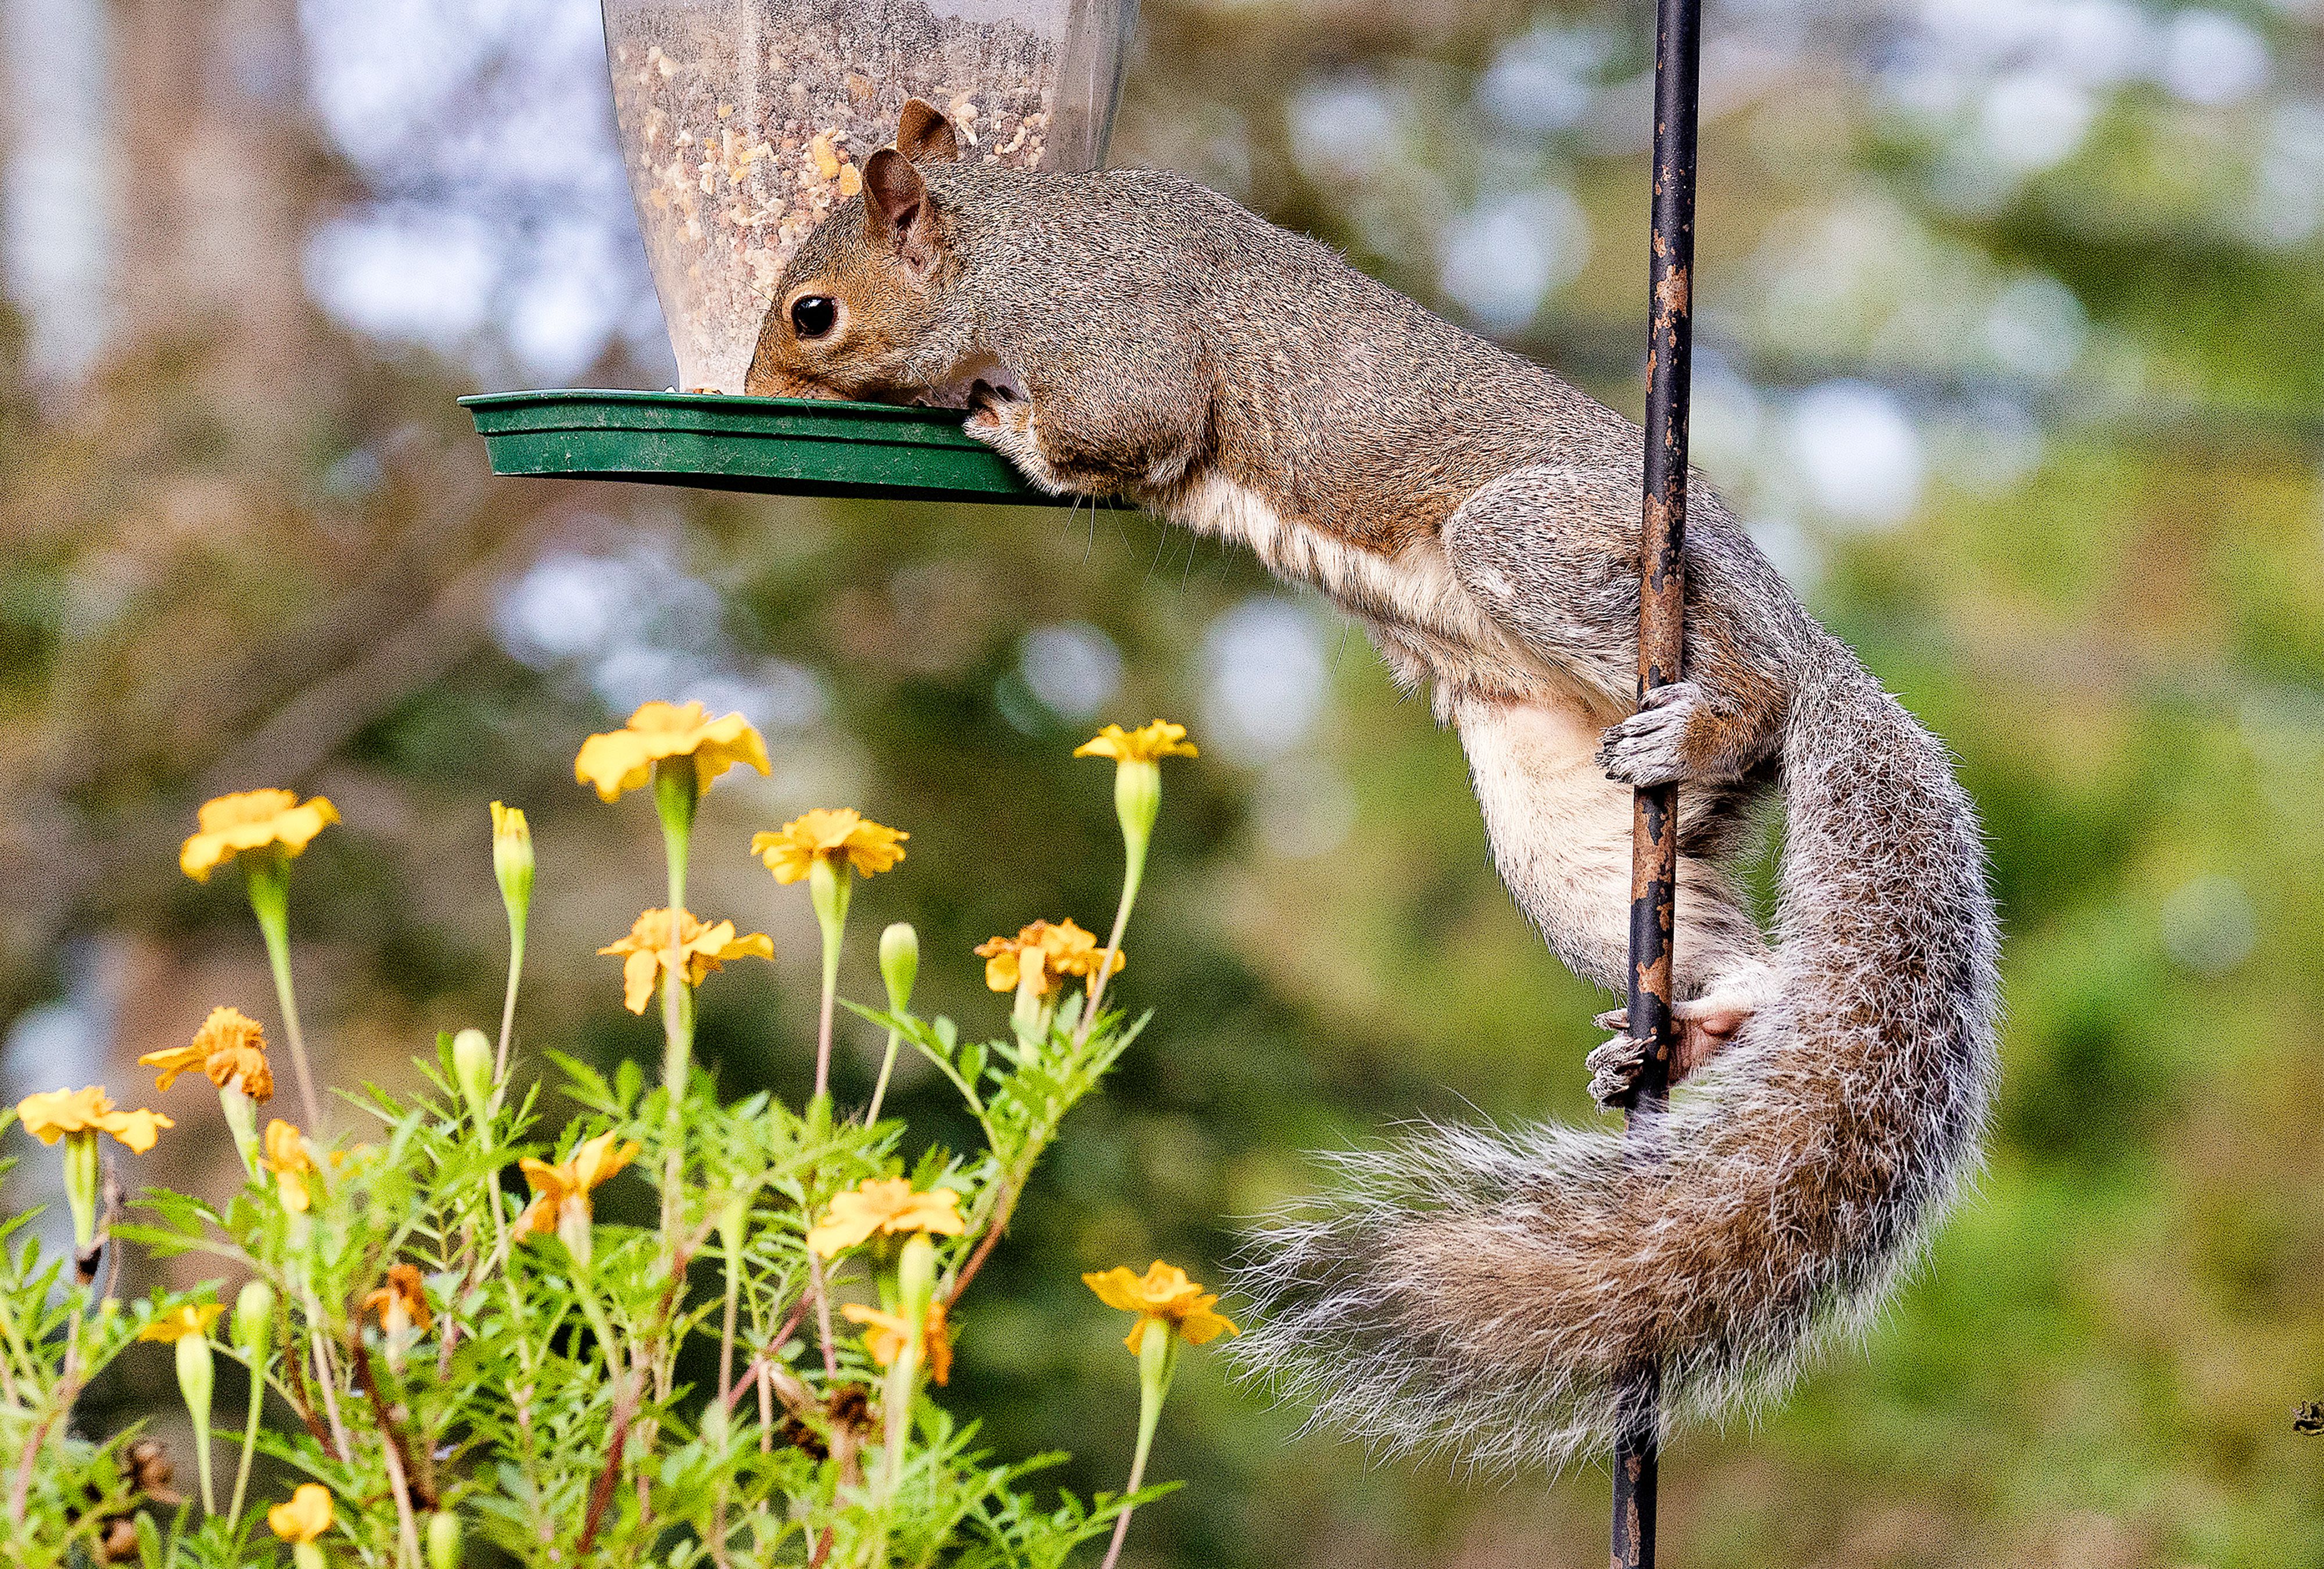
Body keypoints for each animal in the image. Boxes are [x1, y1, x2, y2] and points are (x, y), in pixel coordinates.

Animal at [739, 105, 1999, 1478]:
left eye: (812, 314)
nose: (751, 401)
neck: (1010, 256)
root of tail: (1808, 644)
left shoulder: (1116, 348)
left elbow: (1113, 434)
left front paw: (995, 425)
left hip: (1562, 552)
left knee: (1746, 689)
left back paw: (1724, 720)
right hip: (1553, 814)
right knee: (1743, 967)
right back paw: (1695, 1027)